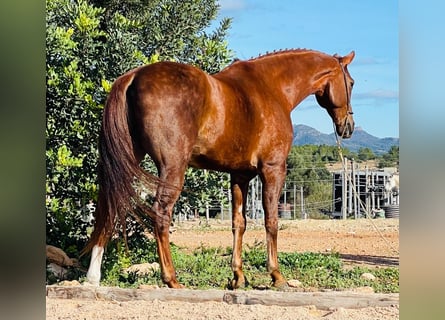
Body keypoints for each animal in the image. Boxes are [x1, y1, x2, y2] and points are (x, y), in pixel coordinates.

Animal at [82, 48, 354, 288]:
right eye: (351, 83)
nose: (348, 126)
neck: (270, 89)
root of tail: (134, 76)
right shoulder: (273, 169)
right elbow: (271, 221)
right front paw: (276, 276)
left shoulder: (240, 175)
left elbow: (239, 223)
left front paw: (238, 277)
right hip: (172, 168)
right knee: (160, 213)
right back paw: (171, 279)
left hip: (126, 162)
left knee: (109, 206)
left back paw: (93, 276)